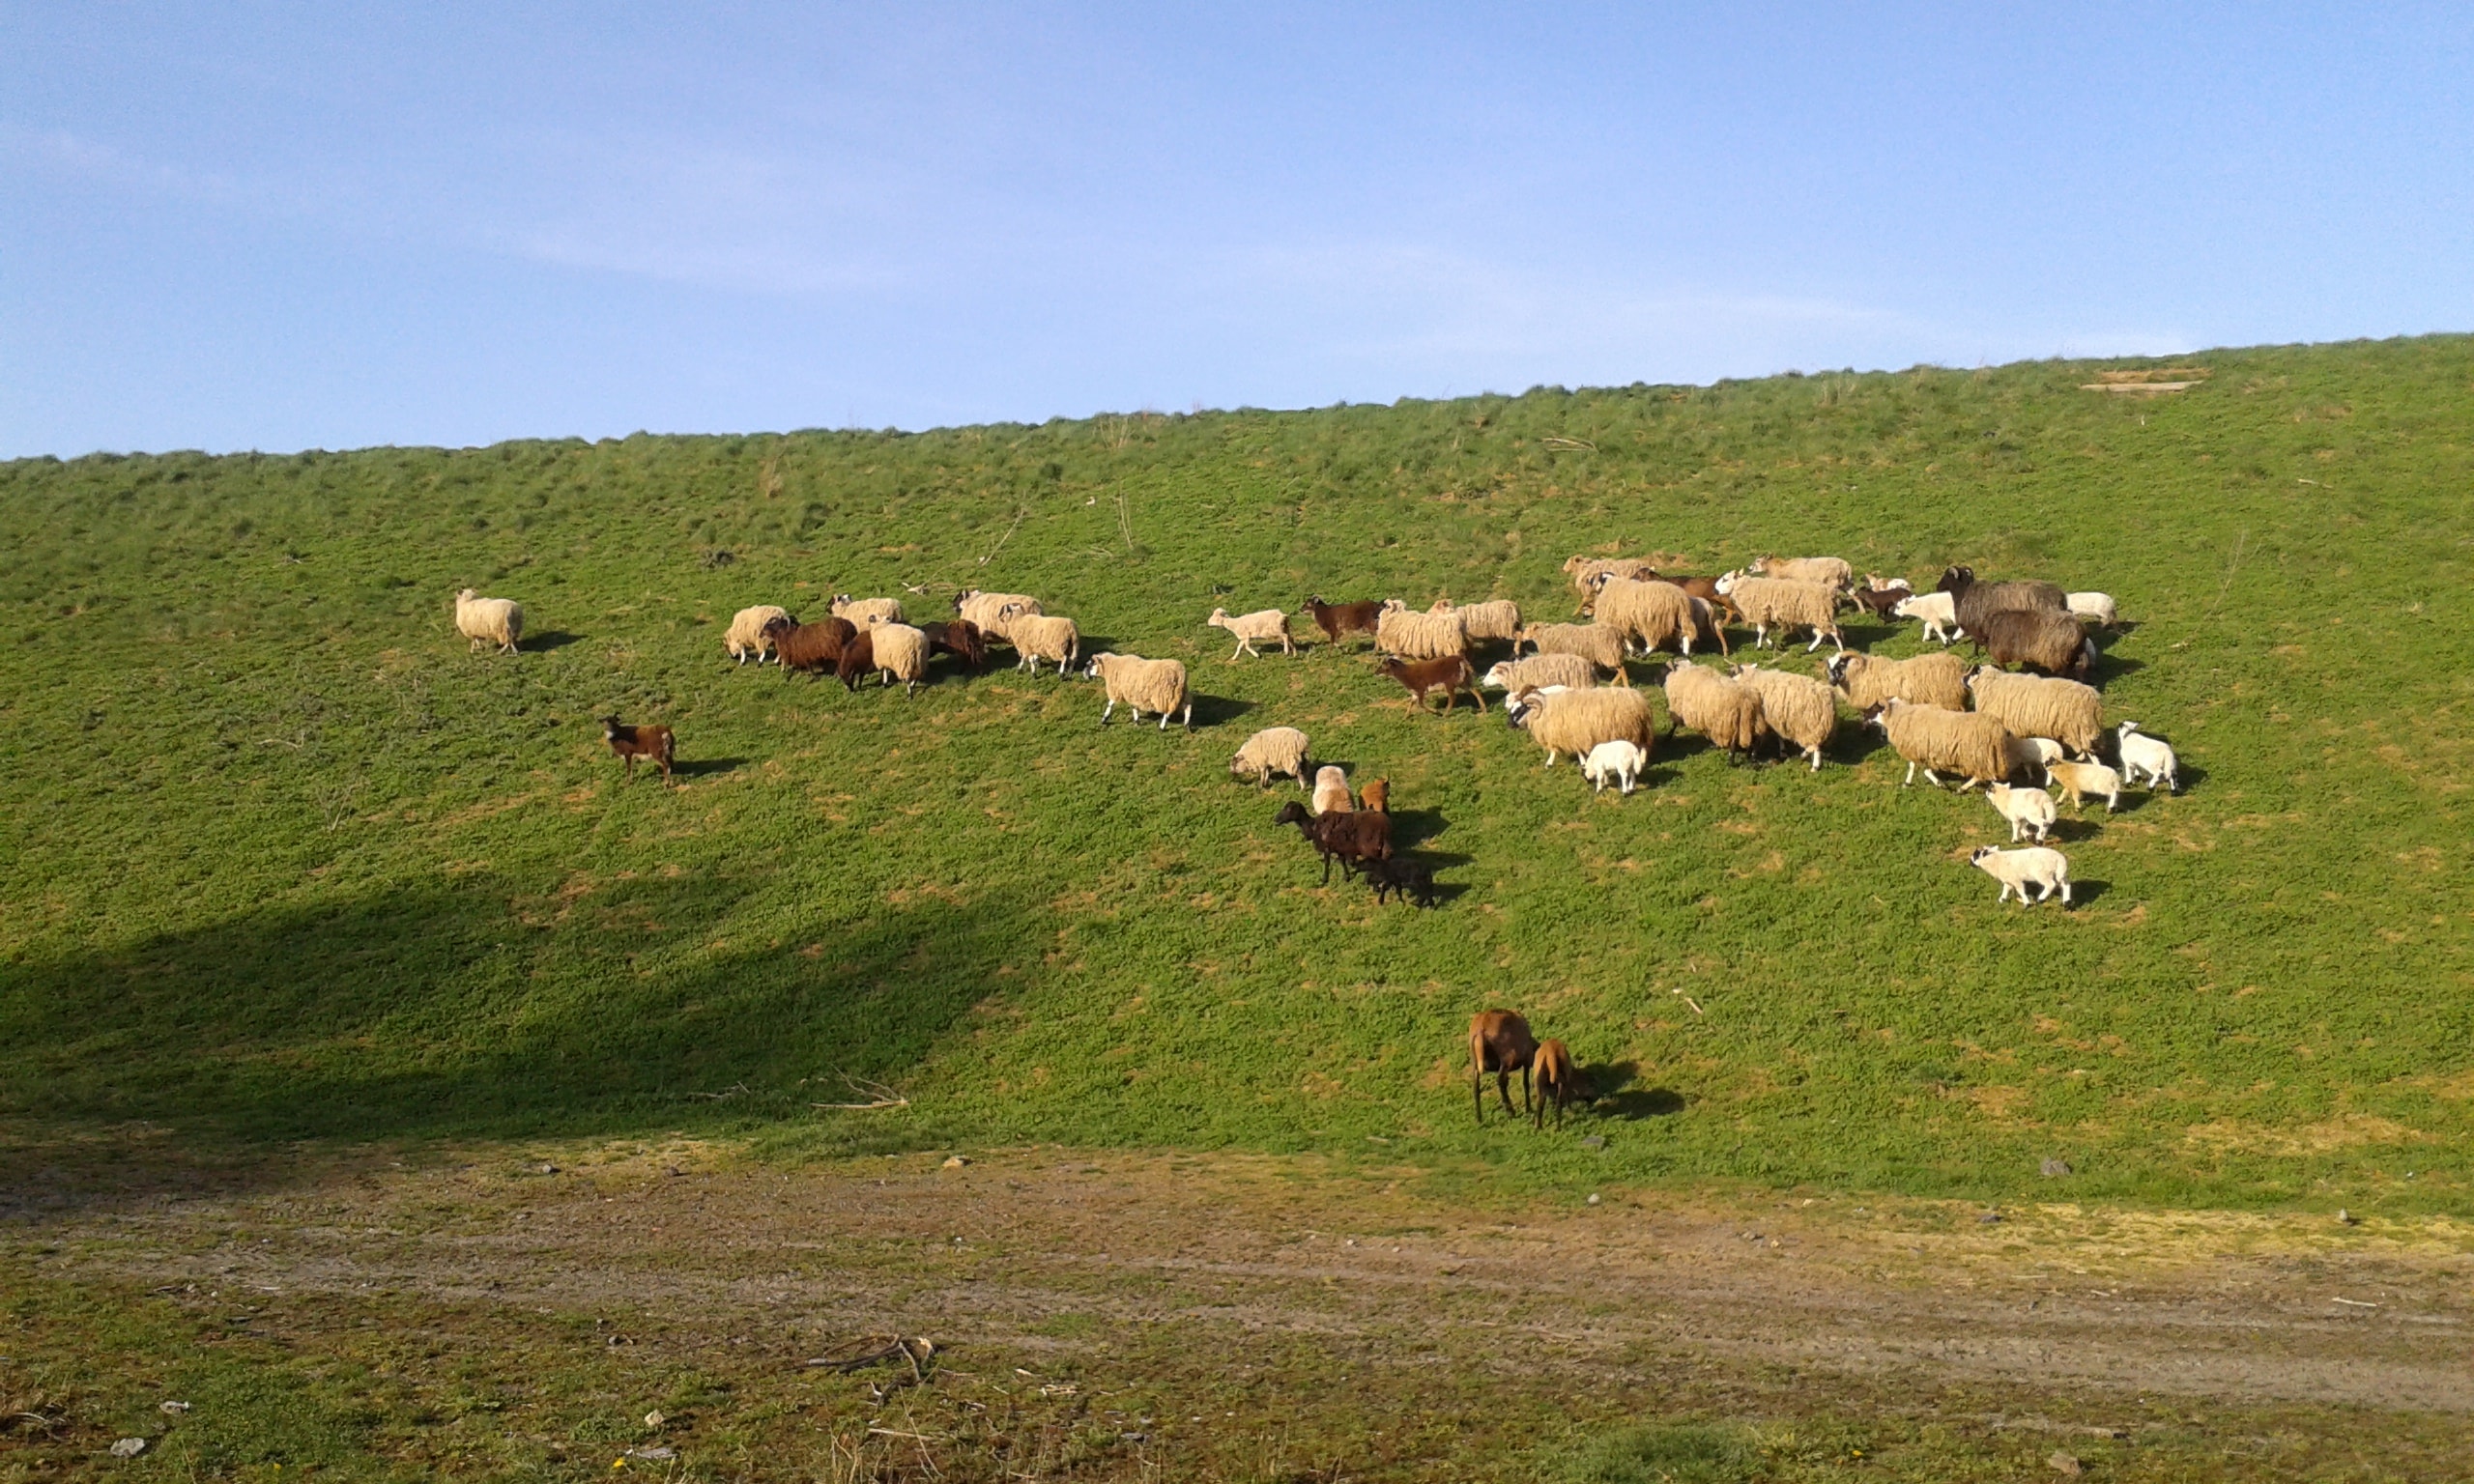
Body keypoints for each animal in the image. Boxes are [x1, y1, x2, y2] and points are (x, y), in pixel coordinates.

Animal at [1505, 684, 1657, 768]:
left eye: (1520, 709)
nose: (1509, 725)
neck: (1545, 708)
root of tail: (1640, 699)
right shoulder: (1572, 733)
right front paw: (1582, 761)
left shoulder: (1569, 732)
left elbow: (1555, 749)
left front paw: (1549, 763)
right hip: (1641, 727)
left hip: (1633, 728)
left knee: (1642, 745)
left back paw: (1642, 761)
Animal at [1713, 573, 1844, 653]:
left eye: (1725, 579)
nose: (1715, 590)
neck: (1745, 587)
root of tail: (1831, 593)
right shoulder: (1765, 614)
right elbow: (1764, 632)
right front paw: (1769, 644)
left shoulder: (1760, 613)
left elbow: (1761, 631)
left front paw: (1759, 646)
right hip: (1817, 616)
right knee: (1821, 634)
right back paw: (1808, 650)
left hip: (1821, 615)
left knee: (1834, 632)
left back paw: (1841, 650)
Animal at [1825, 650, 1968, 714]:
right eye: (1829, 667)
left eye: (1841, 664)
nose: (1831, 681)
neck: (1861, 674)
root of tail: (1958, 666)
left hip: (1950, 700)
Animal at [1867, 697, 2016, 790]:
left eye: (1874, 709)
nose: (1864, 719)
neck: (1901, 716)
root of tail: (1998, 728)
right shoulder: (1919, 750)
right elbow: (1916, 767)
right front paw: (1908, 783)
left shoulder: (1919, 750)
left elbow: (1921, 769)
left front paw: (1939, 784)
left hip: (1980, 756)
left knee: (1986, 775)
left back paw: (1963, 789)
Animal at [1967, 666, 2103, 757]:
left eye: (1970, 672)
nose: (1962, 678)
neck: (1991, 684)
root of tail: (2092, 697)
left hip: (2076, 728)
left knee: (2082, 747)